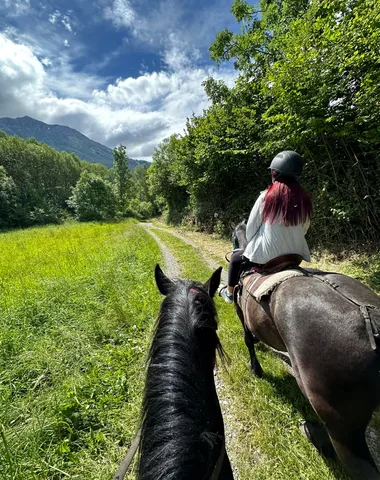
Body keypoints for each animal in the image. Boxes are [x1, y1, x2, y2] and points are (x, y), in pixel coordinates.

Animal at [235, 222, 380, 480]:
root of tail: (370, 319)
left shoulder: (243, 317)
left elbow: (248, 341)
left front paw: (256, 369)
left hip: (343, 426)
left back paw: (314, 435)